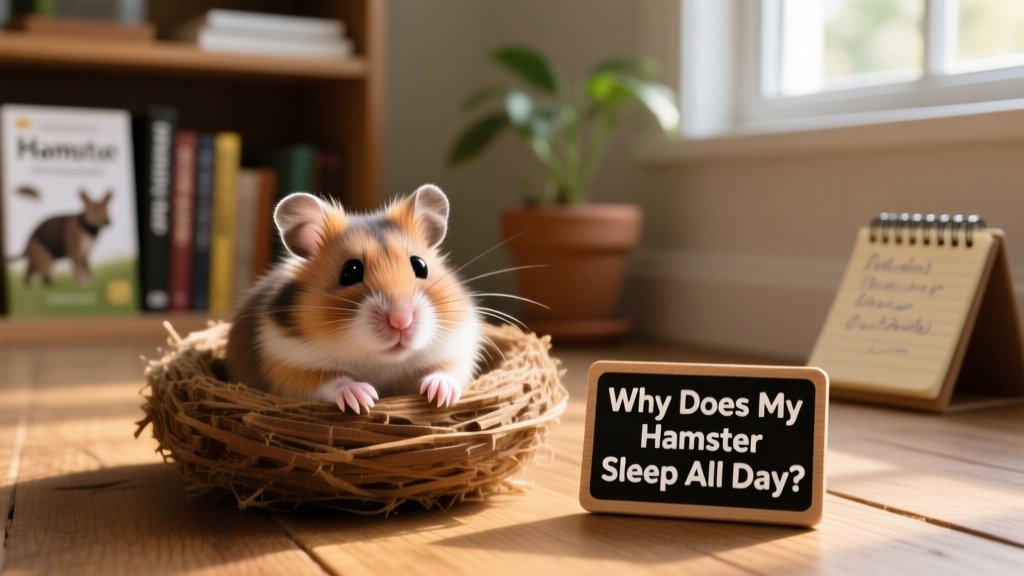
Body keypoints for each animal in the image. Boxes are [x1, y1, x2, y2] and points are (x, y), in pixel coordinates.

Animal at [225, 184, 484, 414]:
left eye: (420, 266)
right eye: (350, 272)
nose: (401, 321)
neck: (380, 361)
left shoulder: (455, 351)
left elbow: (446, 371)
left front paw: (441, 397)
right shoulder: (288, 365)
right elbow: (330, 381)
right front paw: (365, 398)